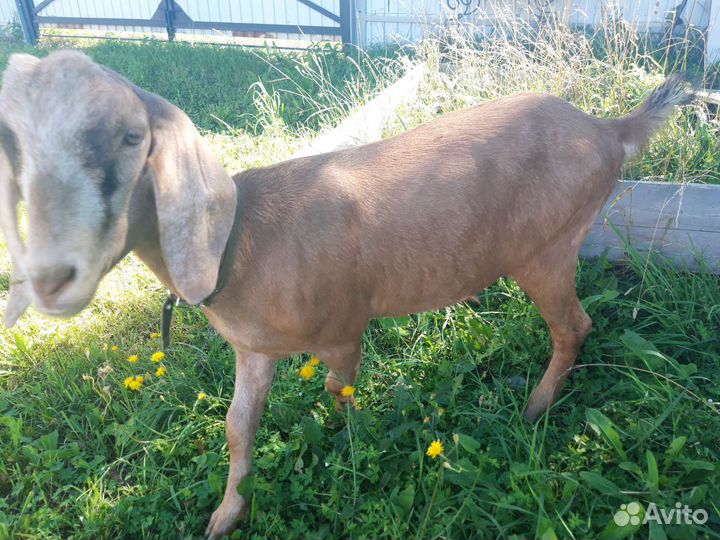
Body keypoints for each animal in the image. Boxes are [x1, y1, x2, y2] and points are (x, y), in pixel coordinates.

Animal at [0, 51, 691, 538]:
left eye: (130, 138)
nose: (50, 276)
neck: (242, 242)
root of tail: (610, 130)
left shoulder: (343, 327)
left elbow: (340, 391)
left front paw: (355, 448)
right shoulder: (253, 350)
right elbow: (237, 427)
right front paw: (226, 516)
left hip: (547, 248)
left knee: (574, 326)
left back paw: (534, 410)